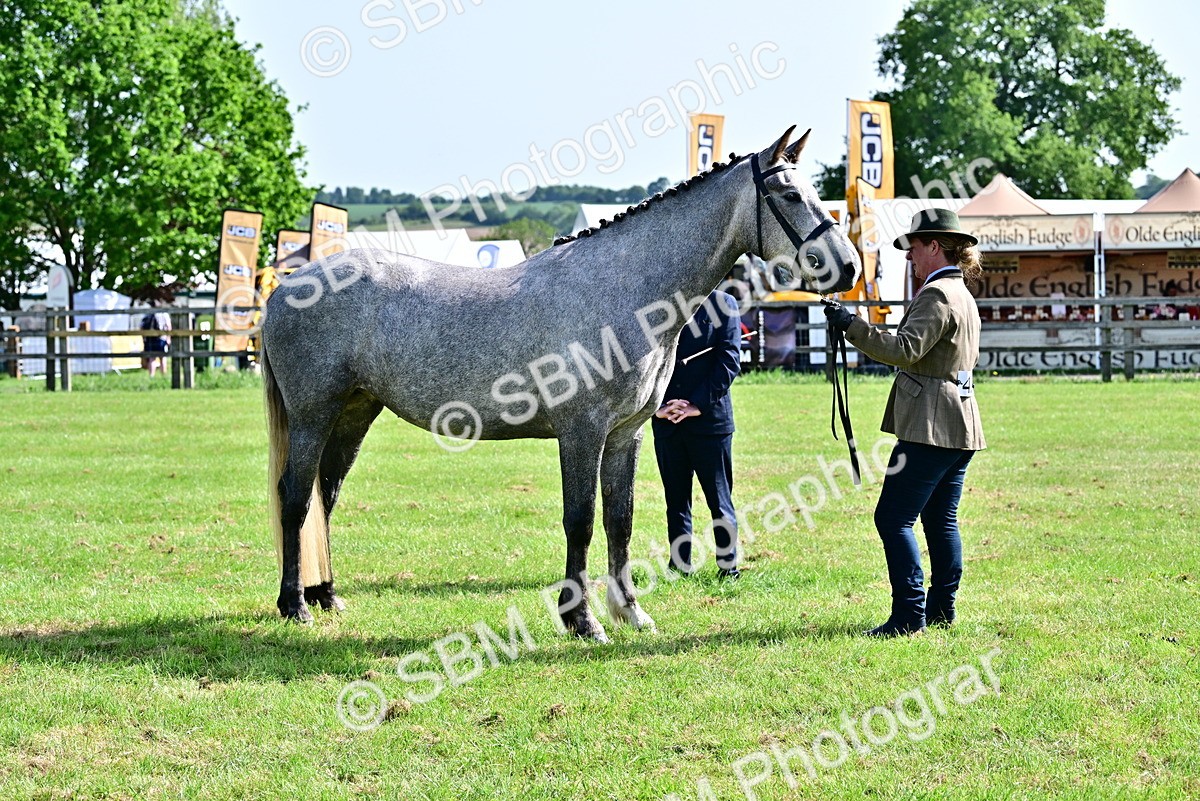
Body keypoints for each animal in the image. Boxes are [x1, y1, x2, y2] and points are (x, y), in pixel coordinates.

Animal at [262, 125, 861, 641]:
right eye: (788, 194)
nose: (850, 268)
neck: (626, 289)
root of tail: (285, 287)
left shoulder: (625, 434)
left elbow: (620, 520)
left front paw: (631, 612)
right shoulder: (582, 431)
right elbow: (582, 521)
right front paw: (582, 620)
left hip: (355, 412)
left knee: (324, 496)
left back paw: (326, 595)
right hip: (314, 415)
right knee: (295, 497)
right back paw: (295, 605)